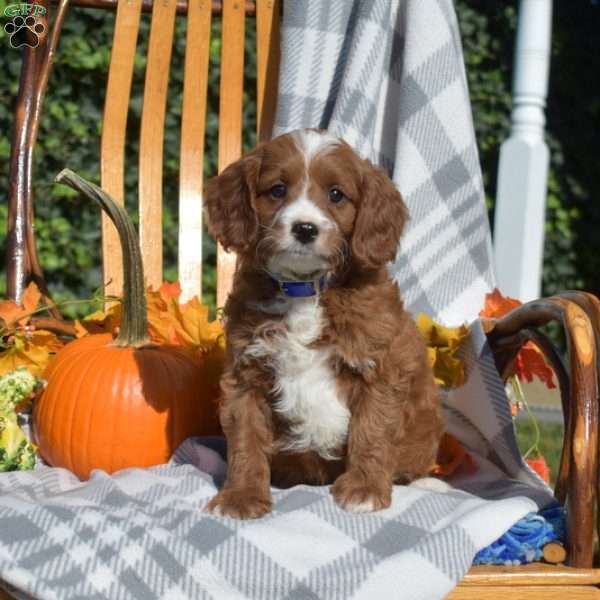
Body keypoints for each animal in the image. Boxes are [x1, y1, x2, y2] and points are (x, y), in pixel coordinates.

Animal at [204, 129, 442, 516]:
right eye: (277, 190)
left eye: (336, 195)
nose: (305, 228)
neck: (305, 289)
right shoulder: (246, 373)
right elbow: (245, 439)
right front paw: (241, 496)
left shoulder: (380, 367)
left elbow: (372, 431)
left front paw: (364, 490)